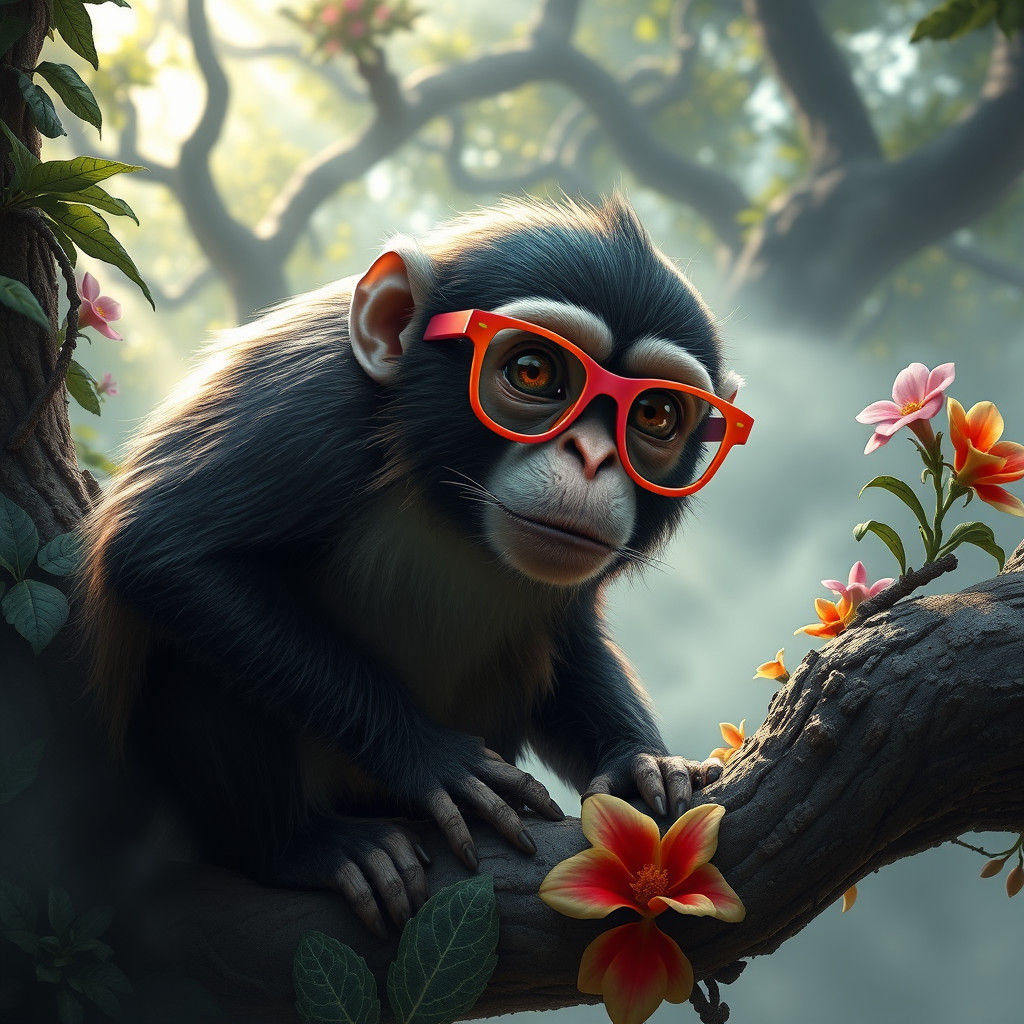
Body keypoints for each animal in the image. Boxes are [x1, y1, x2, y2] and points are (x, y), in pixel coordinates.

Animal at [79, 194, 752, 939]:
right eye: (534, 372)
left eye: (656, 414)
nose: (593, 457)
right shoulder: (310, 403)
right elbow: (168, 550)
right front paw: (430, 758)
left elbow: (572, 640)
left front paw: (638, 762)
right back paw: (307, 846)